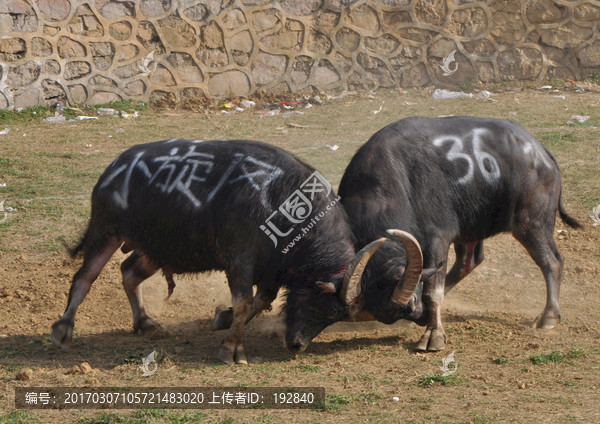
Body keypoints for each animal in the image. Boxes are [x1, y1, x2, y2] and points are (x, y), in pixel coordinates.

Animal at [51, 139, 384, 364]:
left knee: (129, 272)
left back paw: (145, 322)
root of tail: (112, 170)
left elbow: (260, 301)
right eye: (315, 302)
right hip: (105, 230)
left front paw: (223, 320)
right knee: (84, 278)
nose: (297, 346)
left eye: (334, 316)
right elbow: (244, 302)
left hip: (155, 248)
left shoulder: (271, 270)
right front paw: (232, 349)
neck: (280, 201)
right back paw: (63, 330)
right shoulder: (239, 259)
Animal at [332, 116, 580, 352]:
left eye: (411, 301)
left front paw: (433, 335)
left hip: (532, 224)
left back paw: (549, 316)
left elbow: (433, 291)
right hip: (471, 230)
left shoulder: (437, 238)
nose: (421, 317)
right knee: (469, 262)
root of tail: (542, 152)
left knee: (552, 261)